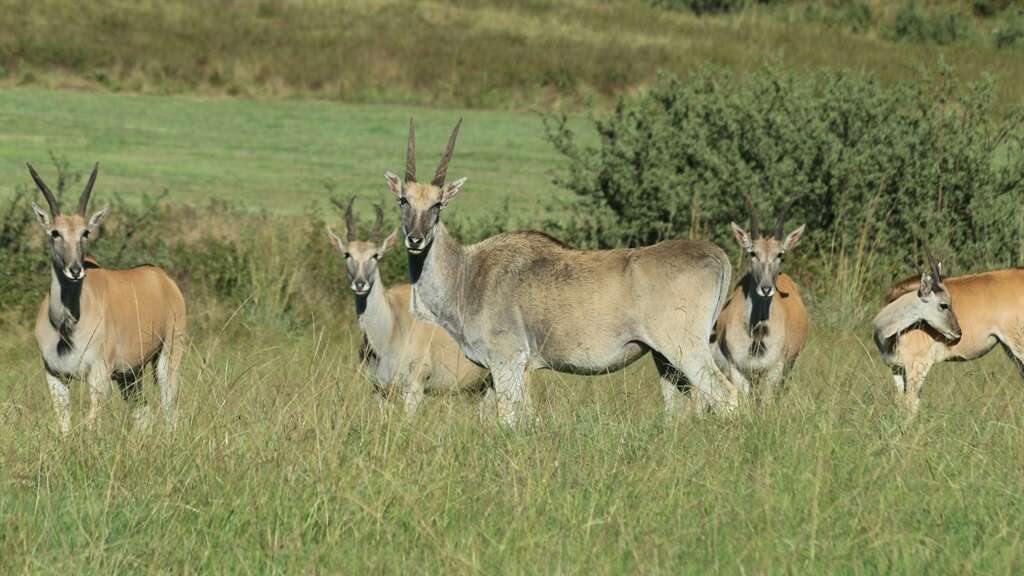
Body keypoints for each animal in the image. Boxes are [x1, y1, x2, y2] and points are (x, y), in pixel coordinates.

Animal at [325, 195, 489, 412]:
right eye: (347, 254)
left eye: (375, 255)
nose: (360, 284)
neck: (390, 328)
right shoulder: (379, 391)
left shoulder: (414, 389)